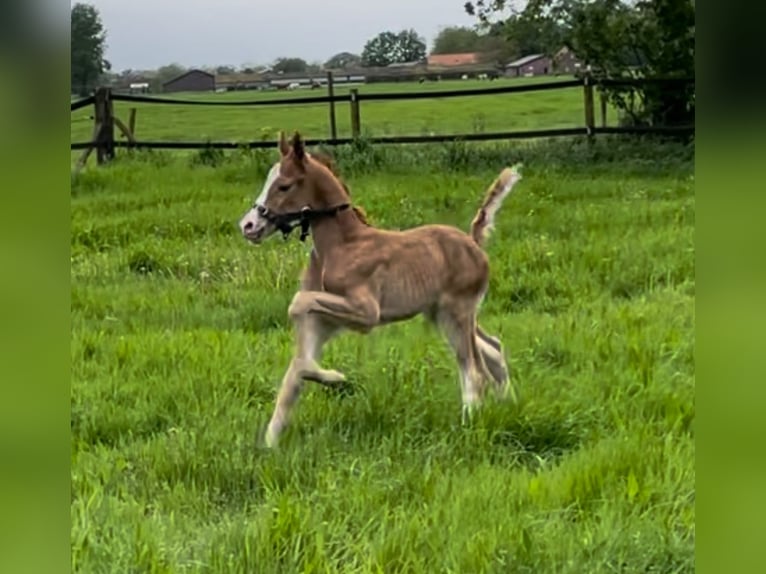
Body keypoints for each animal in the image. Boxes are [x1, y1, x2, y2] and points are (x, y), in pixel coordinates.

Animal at [240, 133, 524, 448]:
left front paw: (337, 377)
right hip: (443, 314)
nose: (248, 225)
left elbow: (298, 303)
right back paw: (510, 406)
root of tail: (473, 242)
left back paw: (469, 428)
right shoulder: (323, 321)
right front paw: (268, 445)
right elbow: (296, 372)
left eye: (284, 185)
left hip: (457, 312)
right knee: (493, 348)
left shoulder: (366, 313)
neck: (342, 245)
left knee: (474, 371)